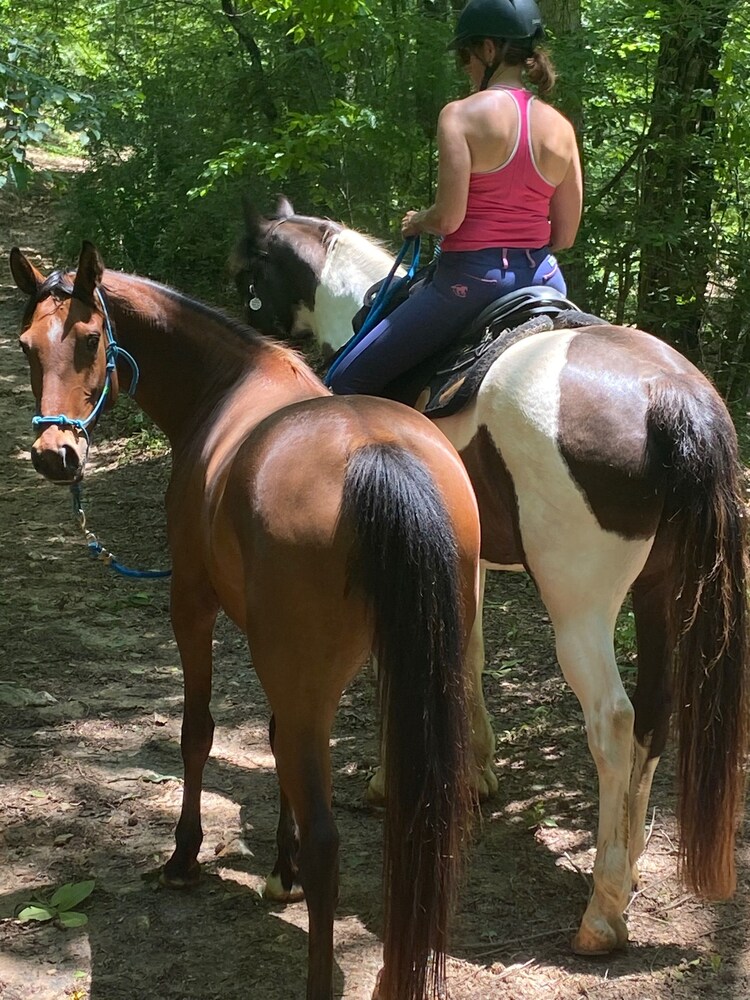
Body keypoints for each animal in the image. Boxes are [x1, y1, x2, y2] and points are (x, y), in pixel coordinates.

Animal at [10, 242, 482, 1000]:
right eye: (25, 345)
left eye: (88, 339)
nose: (58, 456)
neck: (226, 383)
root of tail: (379, 455)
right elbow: (271, 739)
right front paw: (280, 871)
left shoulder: (193, 606)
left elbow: (197, 733)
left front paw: (185, 857)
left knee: (328, 841)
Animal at [235, 195, 750, 952]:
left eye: (249, 268)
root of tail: (670, 396)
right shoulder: (464, 555)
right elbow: (468, 654)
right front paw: (477, 773)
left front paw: (390, 780)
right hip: (661, 590)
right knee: (655, 713)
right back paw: (626, 867)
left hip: (579, 606)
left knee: (613, 721)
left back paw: (602, 911)